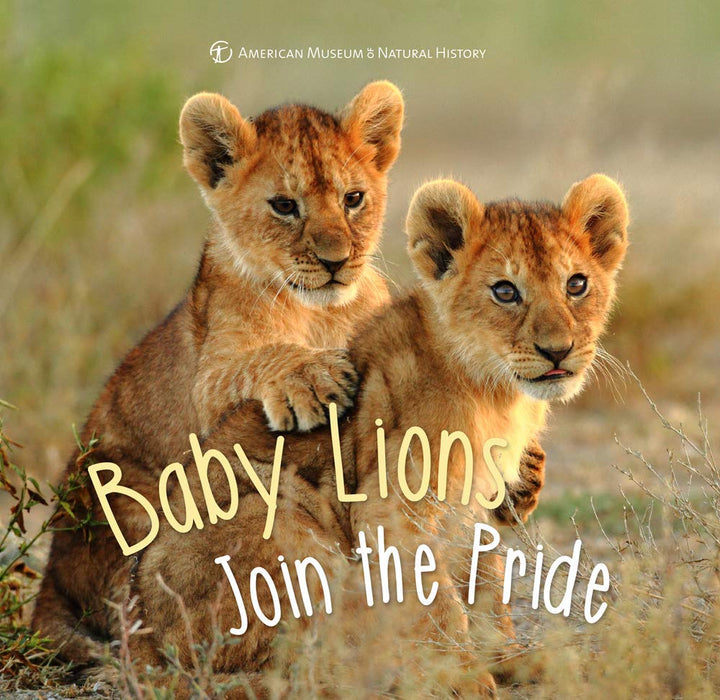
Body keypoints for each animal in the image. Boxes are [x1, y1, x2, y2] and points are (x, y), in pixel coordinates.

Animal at [32, 81, 406, 664]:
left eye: (353, 199)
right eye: (284, 206)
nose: (337, 261)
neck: (322, 313)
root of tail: (49, 578)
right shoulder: (210, 376)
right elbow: (258, 360)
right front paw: (311, 378)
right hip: (122, 496)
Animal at [129, 174, 628, 697]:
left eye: (576, 284)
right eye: (505, 291)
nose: (559, 351)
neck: (497, 394)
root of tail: (144, 639)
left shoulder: (469, 506)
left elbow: (485, 586)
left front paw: (506, 657)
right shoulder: (394, 508)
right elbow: (436, 601)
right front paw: (463, 676)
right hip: (283, 518)